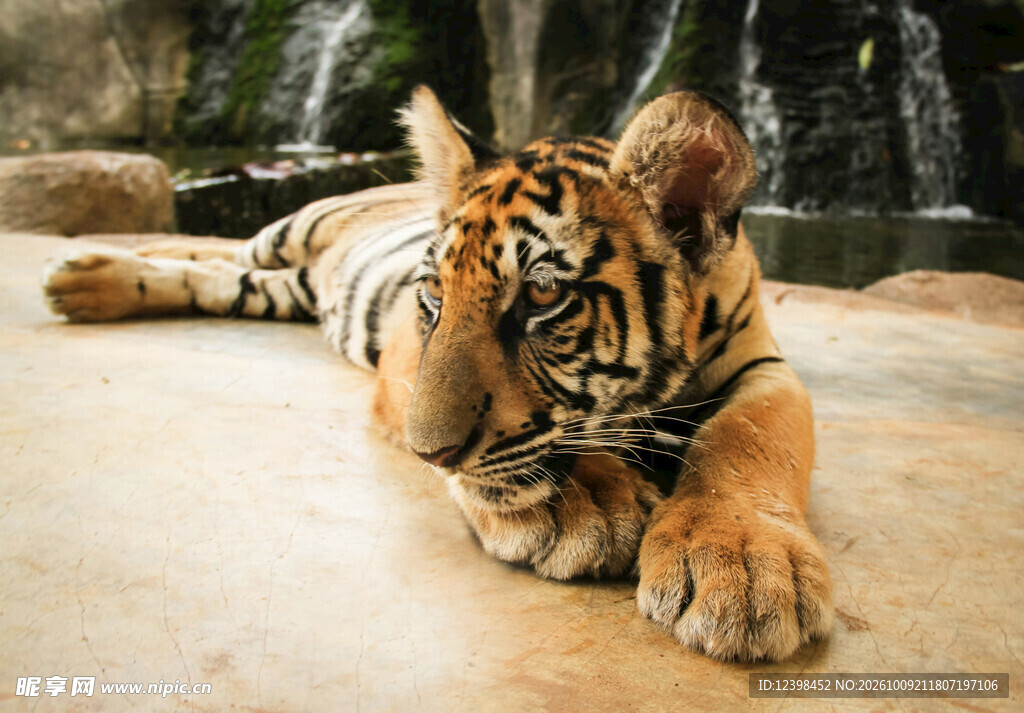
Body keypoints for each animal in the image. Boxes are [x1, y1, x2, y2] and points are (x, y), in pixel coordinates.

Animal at [42, 86, 832, 662]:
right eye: (432, 293)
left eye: (542, 295)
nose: (434, 456)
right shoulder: (402, 354)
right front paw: (584, 503)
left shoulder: (763, 365)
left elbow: (749, 438)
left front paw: (740, 565)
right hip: (291, 226)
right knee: (222, 249)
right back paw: (87, 269)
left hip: (281, 285)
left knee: (226, 275)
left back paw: (88, 282)